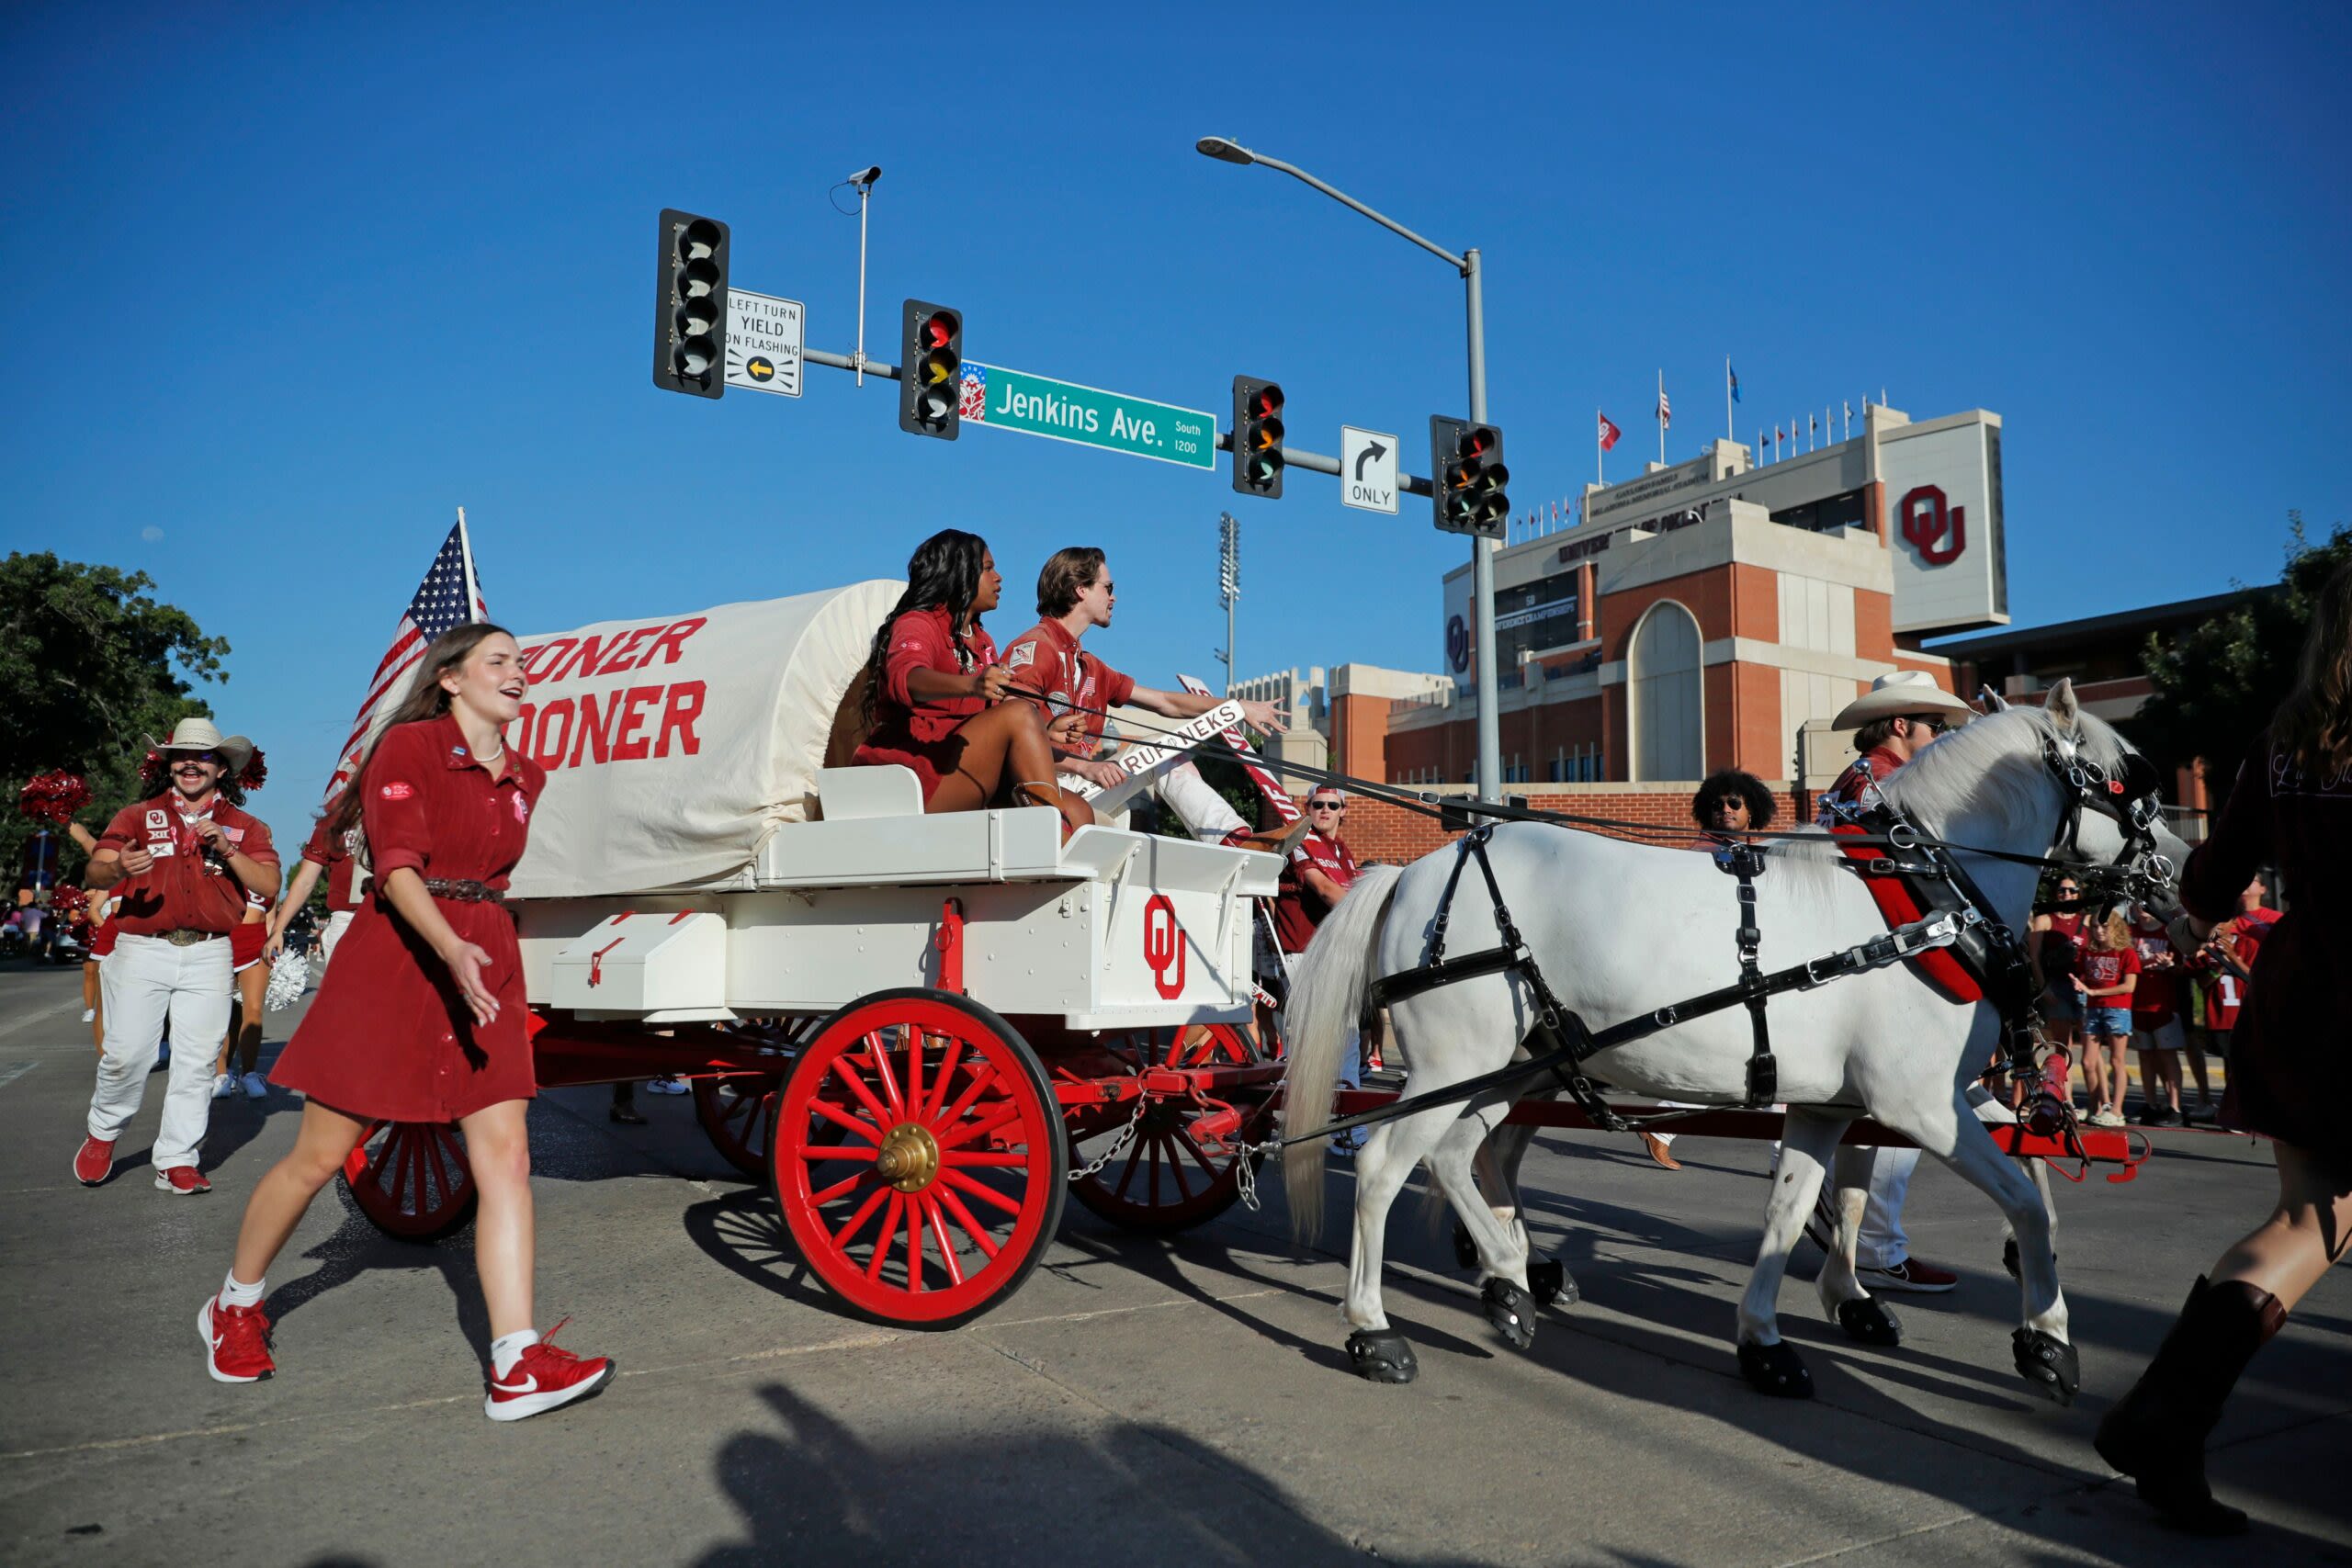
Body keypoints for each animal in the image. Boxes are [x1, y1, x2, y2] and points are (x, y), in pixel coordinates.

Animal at [1288, 682, 2164, 1401]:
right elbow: (2023, 1198)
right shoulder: (1919, 1101)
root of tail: (1409, 873)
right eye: (2133, 779)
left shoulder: (1840, 1104)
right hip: (1456, 1061)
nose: (2175, 875)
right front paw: (2047, 1340)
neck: (1923, 900)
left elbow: (1797, 1210)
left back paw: (1511, 1271)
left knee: (1463, 1152)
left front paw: (1771, 1338)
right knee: (1385, 1163)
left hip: (1513, 1063)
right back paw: (1378, 1327)